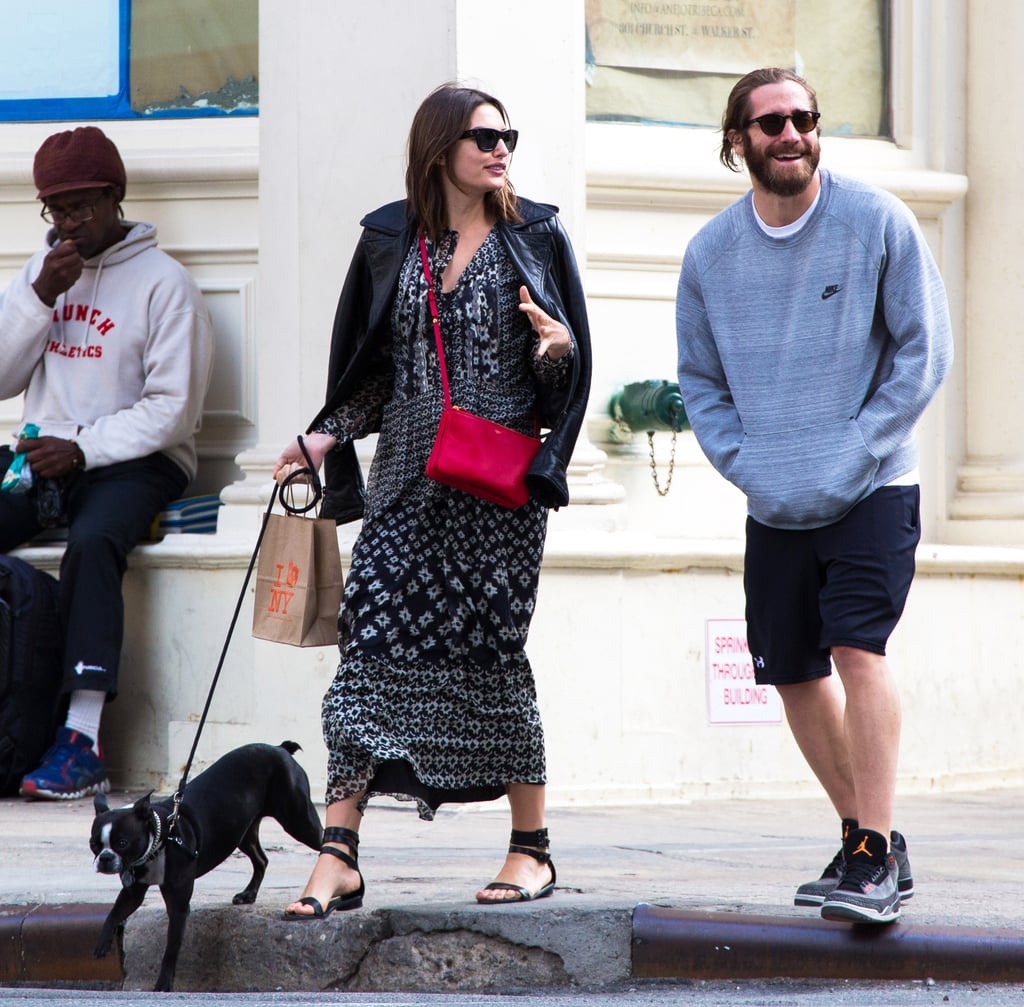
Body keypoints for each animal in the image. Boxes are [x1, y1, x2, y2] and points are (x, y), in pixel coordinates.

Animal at [93, 741, 323, 991]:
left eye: (122, 843)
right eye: (94, 844)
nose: (104, 858)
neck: (160, 836)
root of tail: (279, 748)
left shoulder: (178, 904)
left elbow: (171, 948)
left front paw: (163, 983)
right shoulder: (133, 891)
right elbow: (115, 912)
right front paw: (102, 943)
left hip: (298, 820)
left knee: (326, 842)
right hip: (241, 831)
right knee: (261, 859)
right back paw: (249, 894)